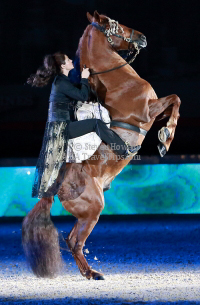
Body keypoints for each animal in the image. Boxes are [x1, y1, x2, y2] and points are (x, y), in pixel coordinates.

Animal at [22, 12, 181, 280]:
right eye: (113, 23)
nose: (142, 37)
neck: (121, 81)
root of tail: (56, 187)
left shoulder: (154, 111)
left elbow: (174, 103)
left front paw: (164, 136)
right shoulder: (147, 111)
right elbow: (175, 99)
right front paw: (165, 138)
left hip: (86, 213)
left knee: (71, 239)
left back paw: (88, 273)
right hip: (94, 208)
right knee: (76, 241)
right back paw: (93, 274)